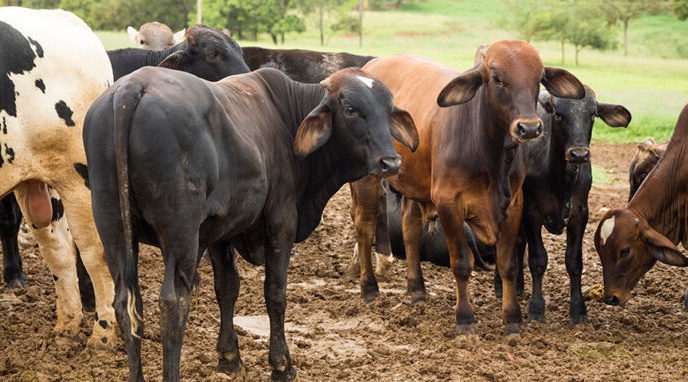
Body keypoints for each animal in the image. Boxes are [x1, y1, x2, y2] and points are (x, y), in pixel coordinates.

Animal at [0, 5, 117, 348]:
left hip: (80, 176)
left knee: (95, 253)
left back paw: (103, 335)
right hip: (35, 179)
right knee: (58, 248)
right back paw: (66, 327)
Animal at [84, 66, 420, 382]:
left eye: (388, 108)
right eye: (350, 108)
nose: (391, 162)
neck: (287, 117)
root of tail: (132, 87)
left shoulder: (219, 232)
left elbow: (227, 288)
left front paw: (229, 358)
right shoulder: (281, 223)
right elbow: (275, 292)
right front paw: (282, 364)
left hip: (113, 229)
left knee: (126, 302)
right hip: (180, 235)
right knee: (172, 303)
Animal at [352, 41, 584, 334]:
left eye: (539, 77)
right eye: (496, 78)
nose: (529, 128)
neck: (488, 152)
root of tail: (372, 65)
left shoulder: (514, 205)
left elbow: (508, 264)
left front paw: (512, 320)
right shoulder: (448, 204)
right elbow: (462, 263)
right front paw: (465, 320)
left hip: (414, 184)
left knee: (410, 228)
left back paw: (417, 290)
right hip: (368, 178)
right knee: (365, 224)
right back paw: (369, 288)